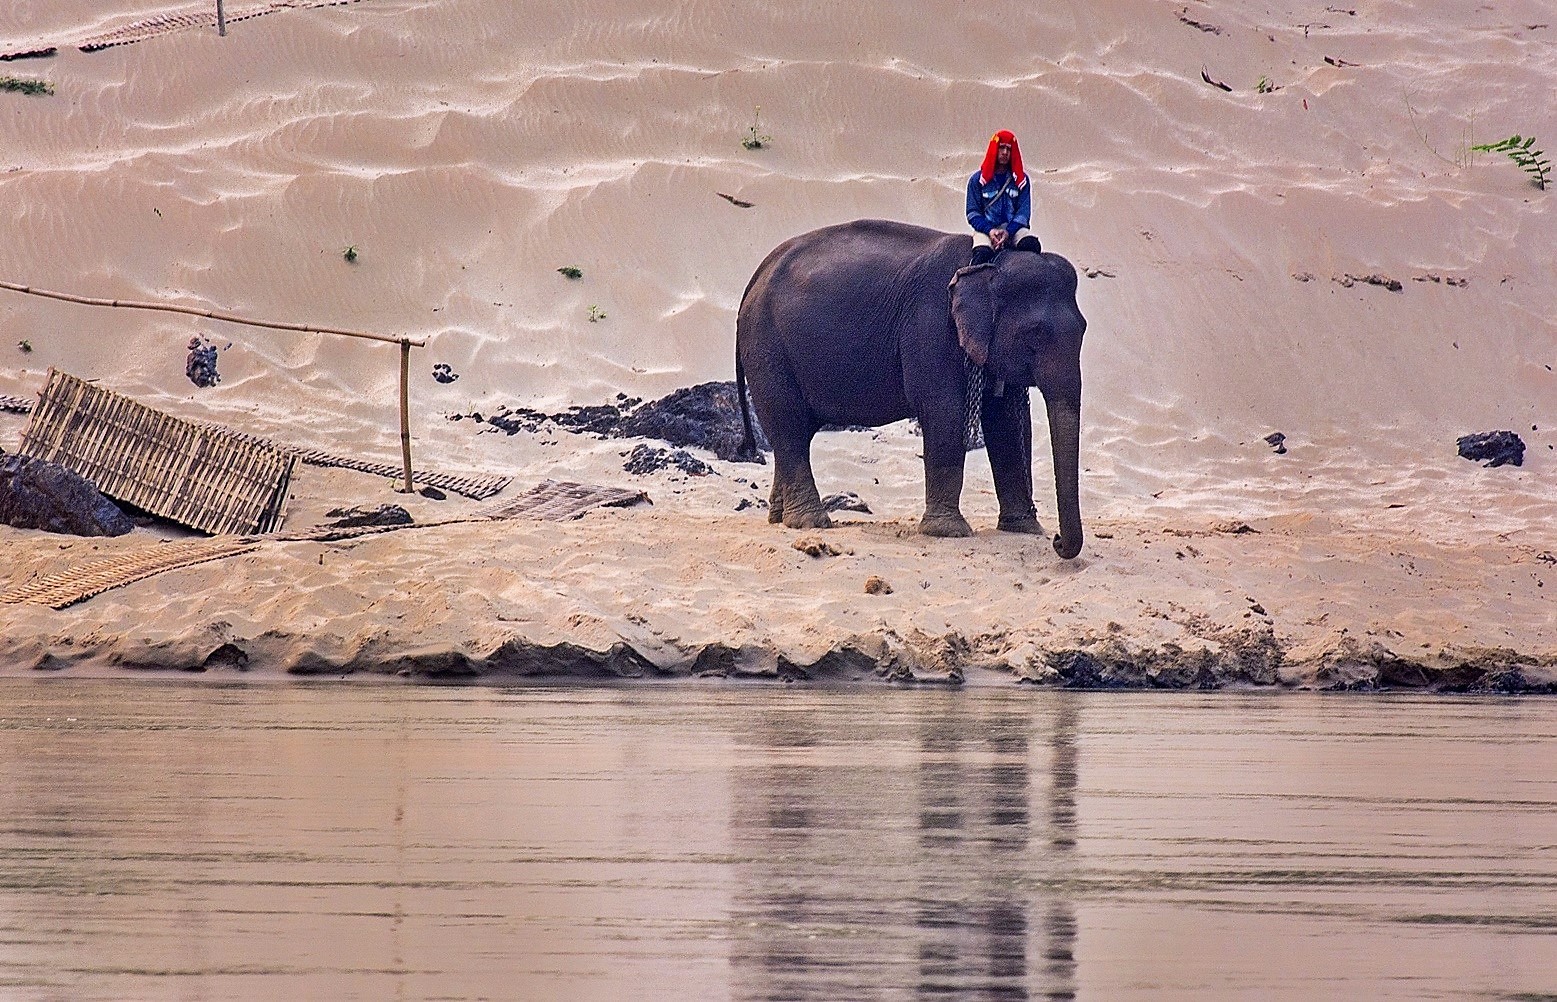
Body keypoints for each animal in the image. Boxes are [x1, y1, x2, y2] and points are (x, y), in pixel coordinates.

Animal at [734, 220, 1089, 560]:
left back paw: (780, 518)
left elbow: (1005, 422)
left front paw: (1023, 529)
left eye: (1084, 329)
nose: (1057, 541)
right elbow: (944, 410)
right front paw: (948, 532)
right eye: (1034, 334)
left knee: (796, 431)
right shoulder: (932, 329)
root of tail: (756, 276)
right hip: (767, 347)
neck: (989, 265)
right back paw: (811, 522)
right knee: (788, 424)